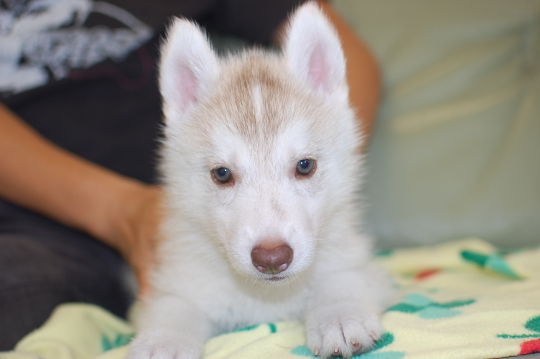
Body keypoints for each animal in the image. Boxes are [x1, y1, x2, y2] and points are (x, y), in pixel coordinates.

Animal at [129, 3, 394, 359]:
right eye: (222, 174)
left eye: (305, 166)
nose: (272, 258)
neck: (265, 298)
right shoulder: (176, 281)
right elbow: (174, 307)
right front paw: (163, 342)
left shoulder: (359, 264)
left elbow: (342, 279)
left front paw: (340, 315)